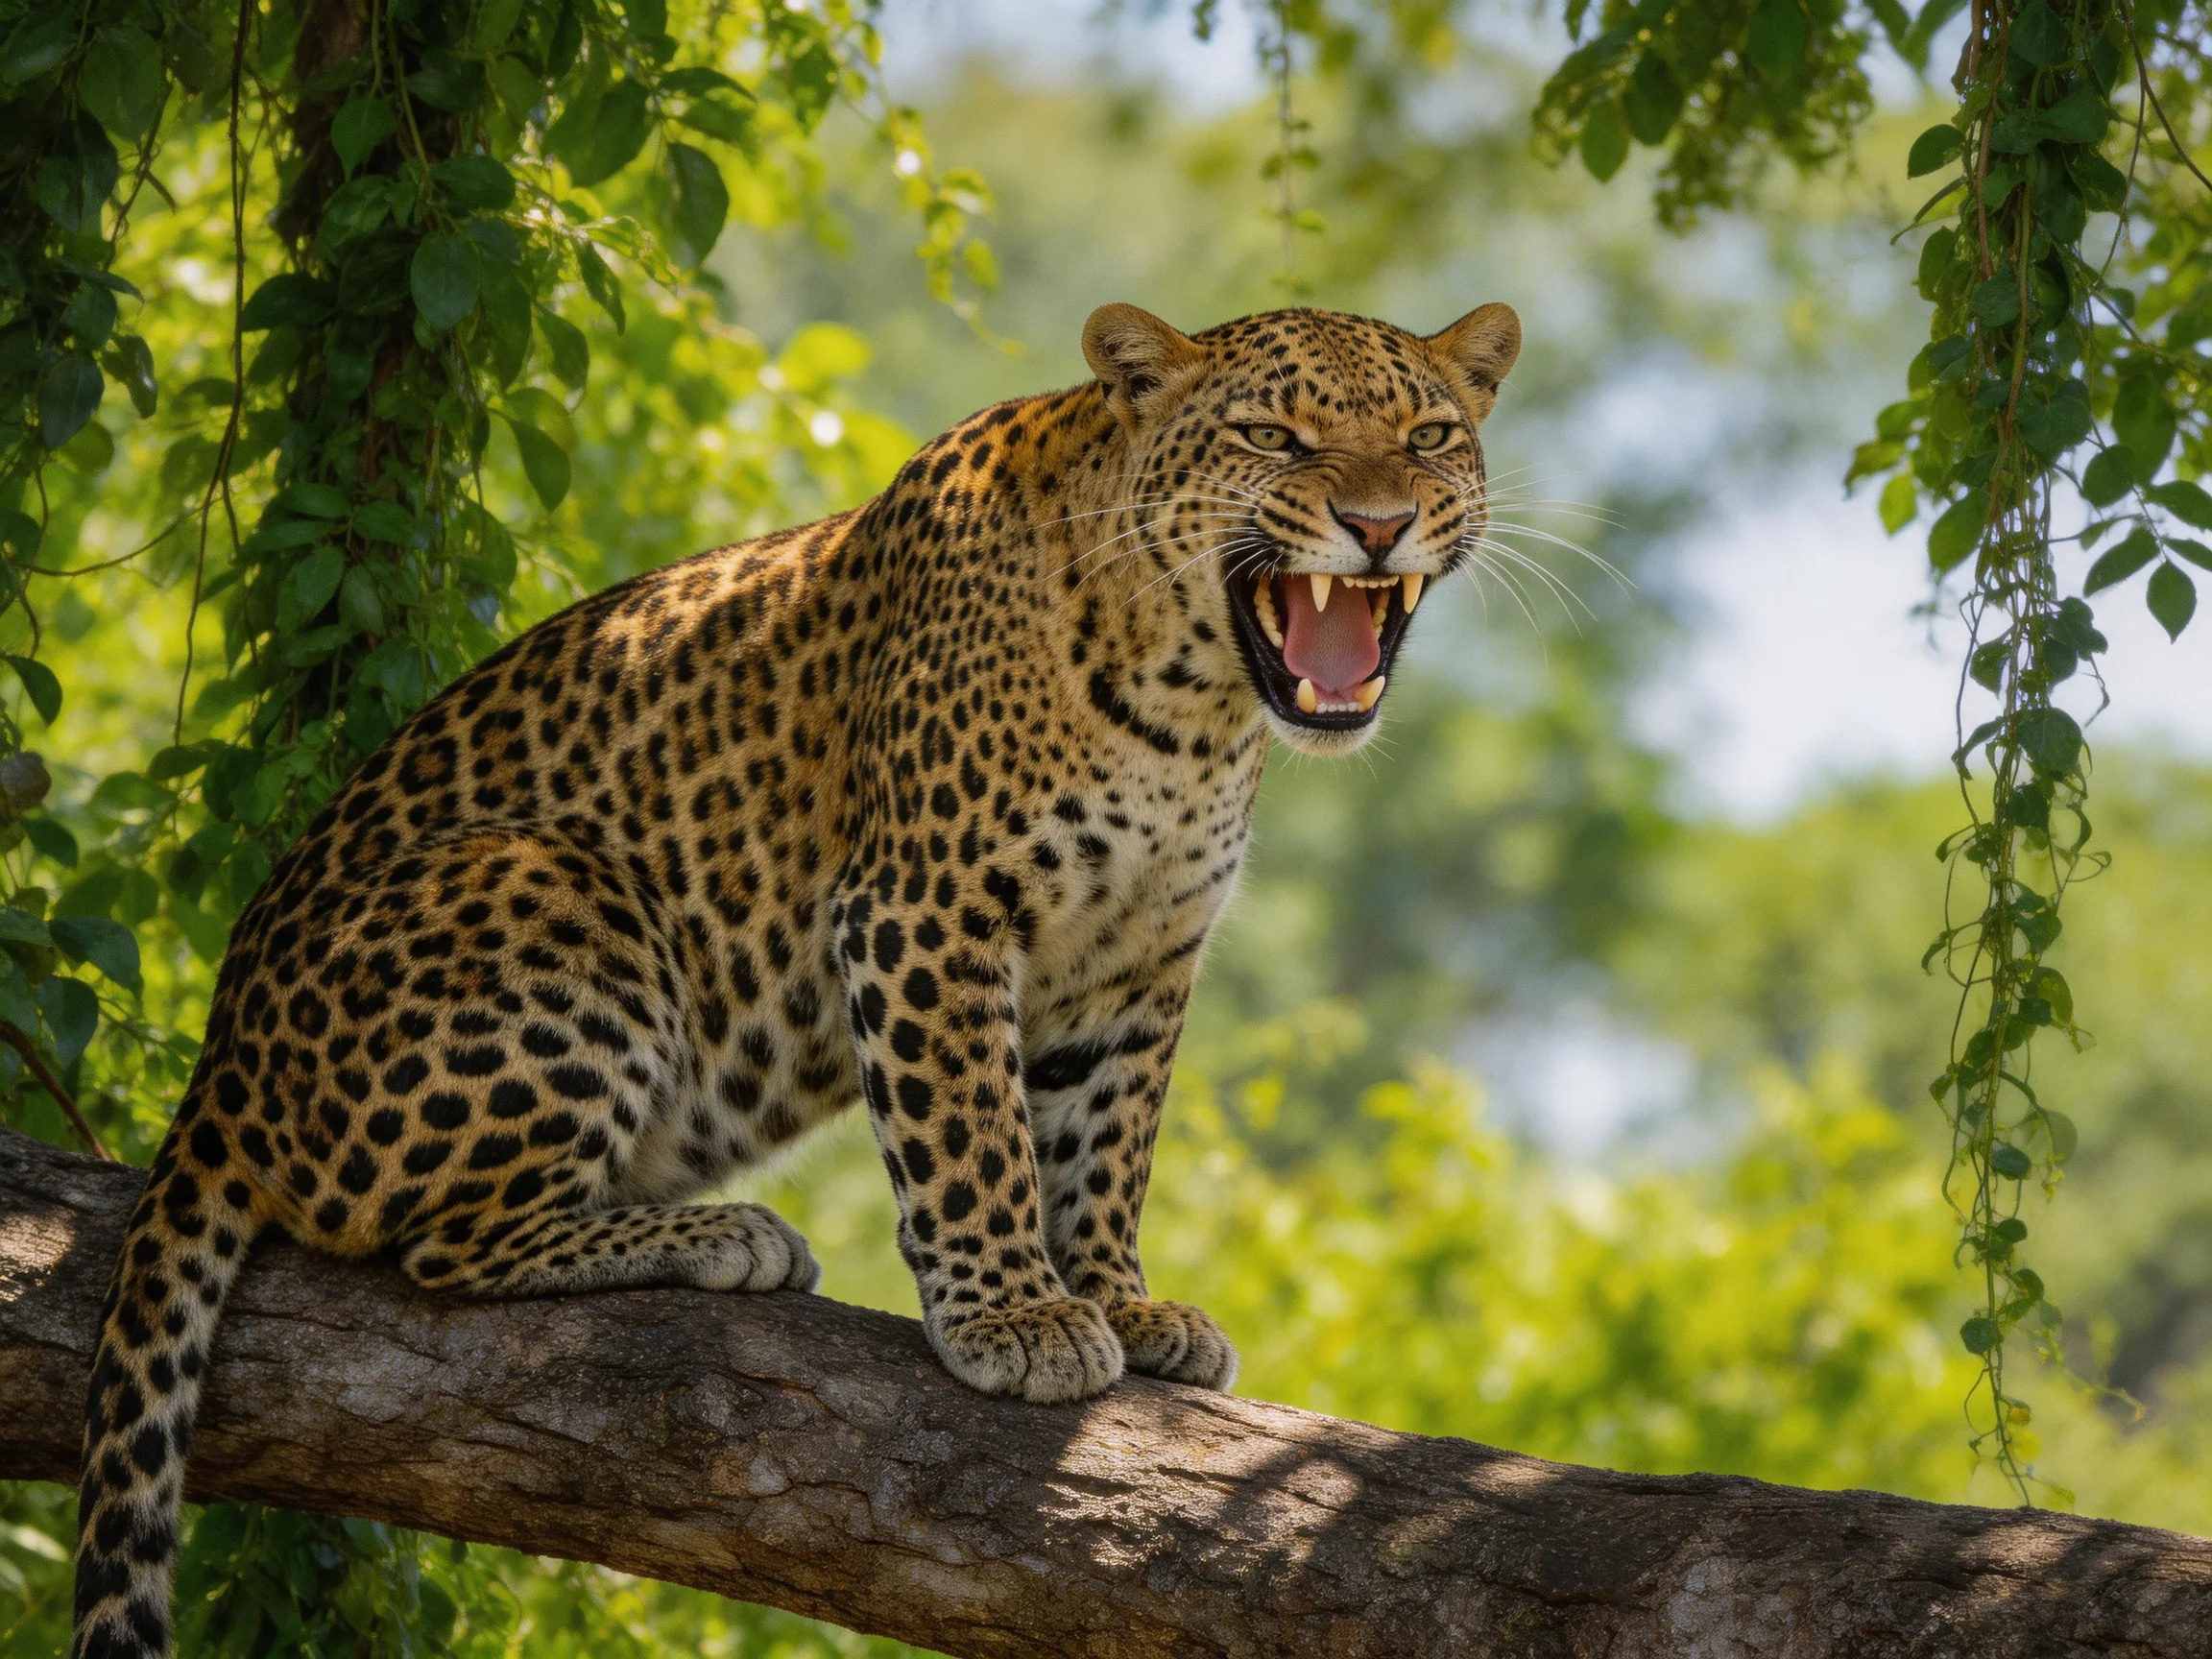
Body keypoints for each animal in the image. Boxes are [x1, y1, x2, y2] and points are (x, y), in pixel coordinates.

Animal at [69, 298, 1521, 1658]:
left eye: (1428, 436)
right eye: (1273, 437)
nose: (1379, 525)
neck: (1193, 702)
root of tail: (215, 1073)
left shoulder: (1139, 964)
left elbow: (1107, 1145)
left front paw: (1117, 1295)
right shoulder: (929, 906)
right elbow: (975, 1134)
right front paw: (1016, 1316)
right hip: (558, 887)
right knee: (433, 1241)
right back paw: (715, 1235)